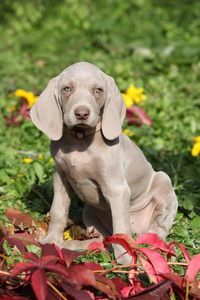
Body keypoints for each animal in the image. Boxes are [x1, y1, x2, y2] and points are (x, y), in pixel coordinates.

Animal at [30, 61, 177, 262]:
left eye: (98, 90)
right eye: (67, 89)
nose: (82, 113)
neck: (80, 139)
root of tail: (138, 230)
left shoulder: (116, 189)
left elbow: (121, 231)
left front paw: (126, 262)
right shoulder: (61, 177)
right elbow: (57, 210)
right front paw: (50, 241)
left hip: (164, 183)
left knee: (157, 229)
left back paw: (151, 244)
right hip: (90, 212)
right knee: (102, 240)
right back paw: (72, 245)